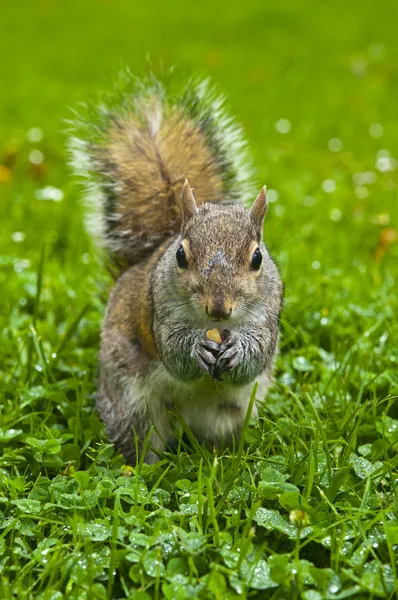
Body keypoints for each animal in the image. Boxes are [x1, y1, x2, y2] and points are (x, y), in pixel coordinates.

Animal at [69, 71, 282, 464]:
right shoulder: (159, 312)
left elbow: (256, 354)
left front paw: (237, 350)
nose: (219, 309)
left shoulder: (267, 317)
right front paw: (196, 348)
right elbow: (173, 351)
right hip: (133, 405)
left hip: (230, 414)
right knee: (141, 437)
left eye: (257, 258)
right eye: (181, 257)